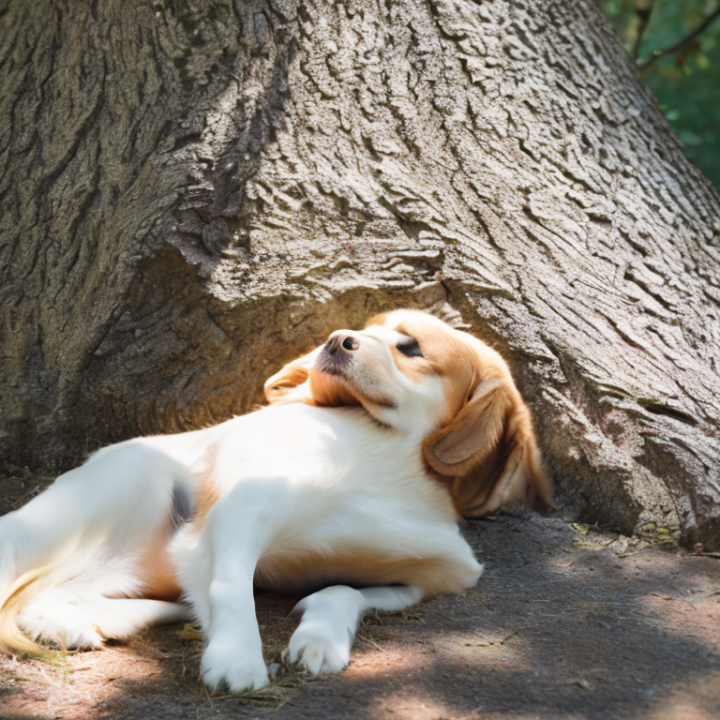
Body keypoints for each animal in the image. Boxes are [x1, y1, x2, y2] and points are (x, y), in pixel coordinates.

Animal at [0, 310, 552, 692]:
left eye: (411, 346)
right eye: (363, 329)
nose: (334, 341)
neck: (381, 461)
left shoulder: (440, 576)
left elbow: (340, 591)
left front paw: (319, 638)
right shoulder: (240, 512)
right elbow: (231, 588)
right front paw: (237, 657)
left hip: (136, 566)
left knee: (56, 595)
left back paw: (73, 621)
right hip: (86, 510)